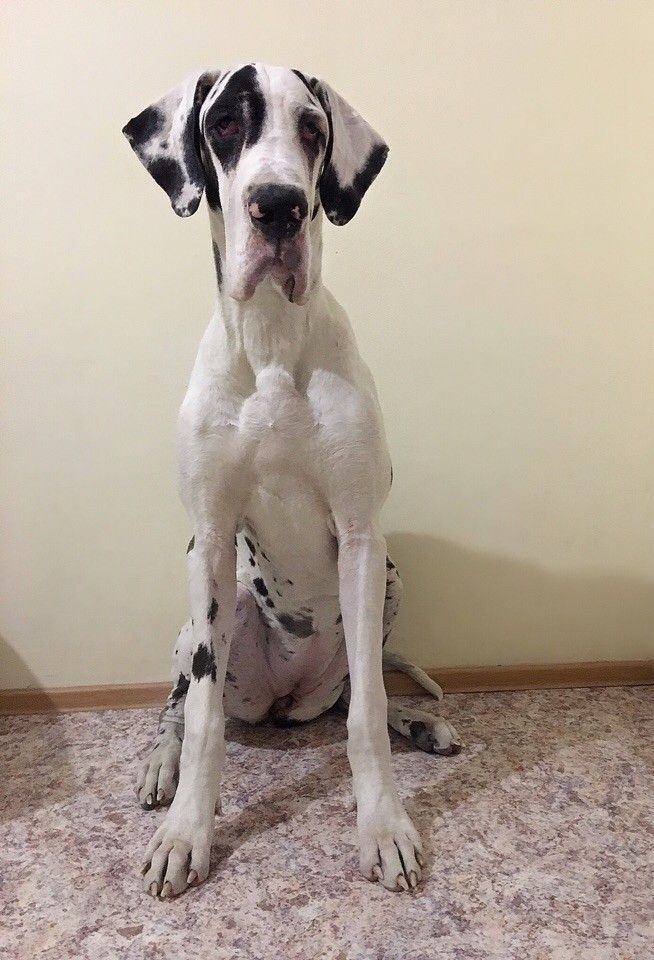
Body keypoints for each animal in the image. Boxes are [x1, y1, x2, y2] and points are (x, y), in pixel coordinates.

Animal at [123, 63, 460, 899]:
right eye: (223, 125)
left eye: (311, 128)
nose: (279, 206)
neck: (273, 340)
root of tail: (283, 700)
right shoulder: (209, 540)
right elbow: (203, 723)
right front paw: (187, 833)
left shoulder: (364, 537)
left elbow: (367, 711)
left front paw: (385, 827)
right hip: (199, 617)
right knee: (179, 706)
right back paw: (158, 767)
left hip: (390, 579)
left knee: (352, 696)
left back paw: (422, 724)